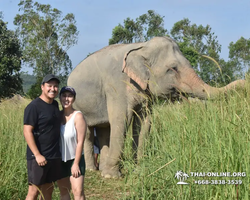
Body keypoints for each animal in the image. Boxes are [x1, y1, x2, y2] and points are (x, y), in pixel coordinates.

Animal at [67, 36, 245, 178]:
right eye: (172, 69)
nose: (244, 81)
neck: (141, 46)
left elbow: (144, 122)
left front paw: (139, 171)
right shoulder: (116, 85)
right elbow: (121, 120)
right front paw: (112, 177)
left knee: (105, 128)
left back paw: (101, 169)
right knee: (89, 133)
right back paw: (92, 170)